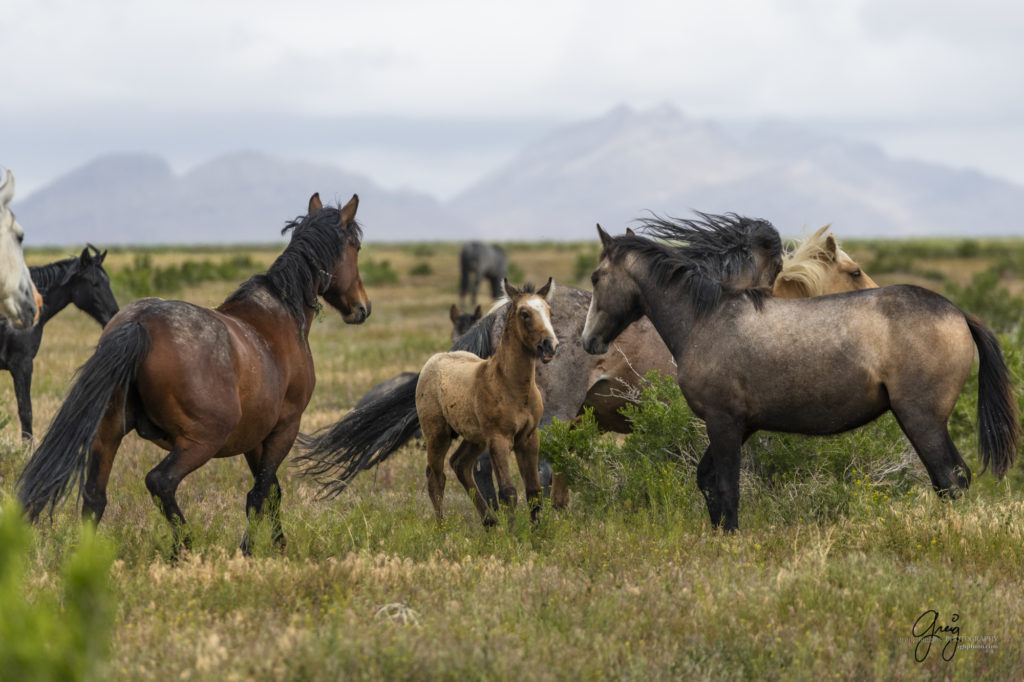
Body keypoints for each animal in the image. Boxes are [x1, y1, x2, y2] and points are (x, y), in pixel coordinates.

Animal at [18, 191, 370, 552]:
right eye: (356, 246)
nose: (361, 307)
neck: (282, 314)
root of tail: (139, 323)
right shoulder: (285, 428)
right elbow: (260, 494)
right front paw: (249, 551)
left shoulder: (256, 436)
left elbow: (271, 491)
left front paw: (279, 545)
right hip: (202, 440)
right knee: (160, 481)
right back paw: (184, 546)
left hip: (108, 433)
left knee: (94, 498)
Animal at [417, 278, 561, 522]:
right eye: (524, 313)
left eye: (549, 312)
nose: (550, 345)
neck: (512, 386)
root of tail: (436, 359)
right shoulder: (499, 439)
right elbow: (508, 492)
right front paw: (514, 532)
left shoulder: (528, 438)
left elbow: (533, 491)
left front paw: (538, 532)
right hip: (438, 435)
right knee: (436, 479)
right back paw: (442, 527)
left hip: (475, 438)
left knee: (460, 464)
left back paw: (490, 521)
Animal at [581, 223, 1019, 532]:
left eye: (596, 277)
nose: (589, 341)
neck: (706, 320)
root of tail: (958, 312)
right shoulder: (741, 425)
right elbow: (707, 480)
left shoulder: (724, 422)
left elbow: (726, 486)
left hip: (921, 419)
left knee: (950, 479)